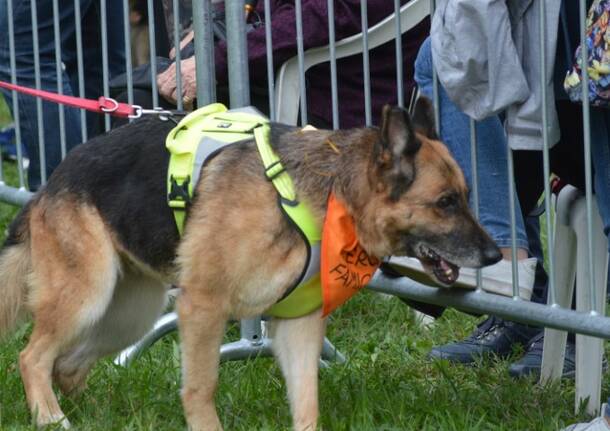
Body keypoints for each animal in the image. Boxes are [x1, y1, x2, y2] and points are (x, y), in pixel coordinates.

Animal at [0, 98, 498, 428]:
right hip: (88, 296)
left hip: (130, 315)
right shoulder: (202, 307)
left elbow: (307, 403)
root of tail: (51, 181)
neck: (327, 194)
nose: (493, 255)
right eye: (445, 202)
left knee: (66, 364)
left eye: (467, 196)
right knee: (32, 356)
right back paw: (50, 417)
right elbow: (200, 388)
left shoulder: (299, 327)